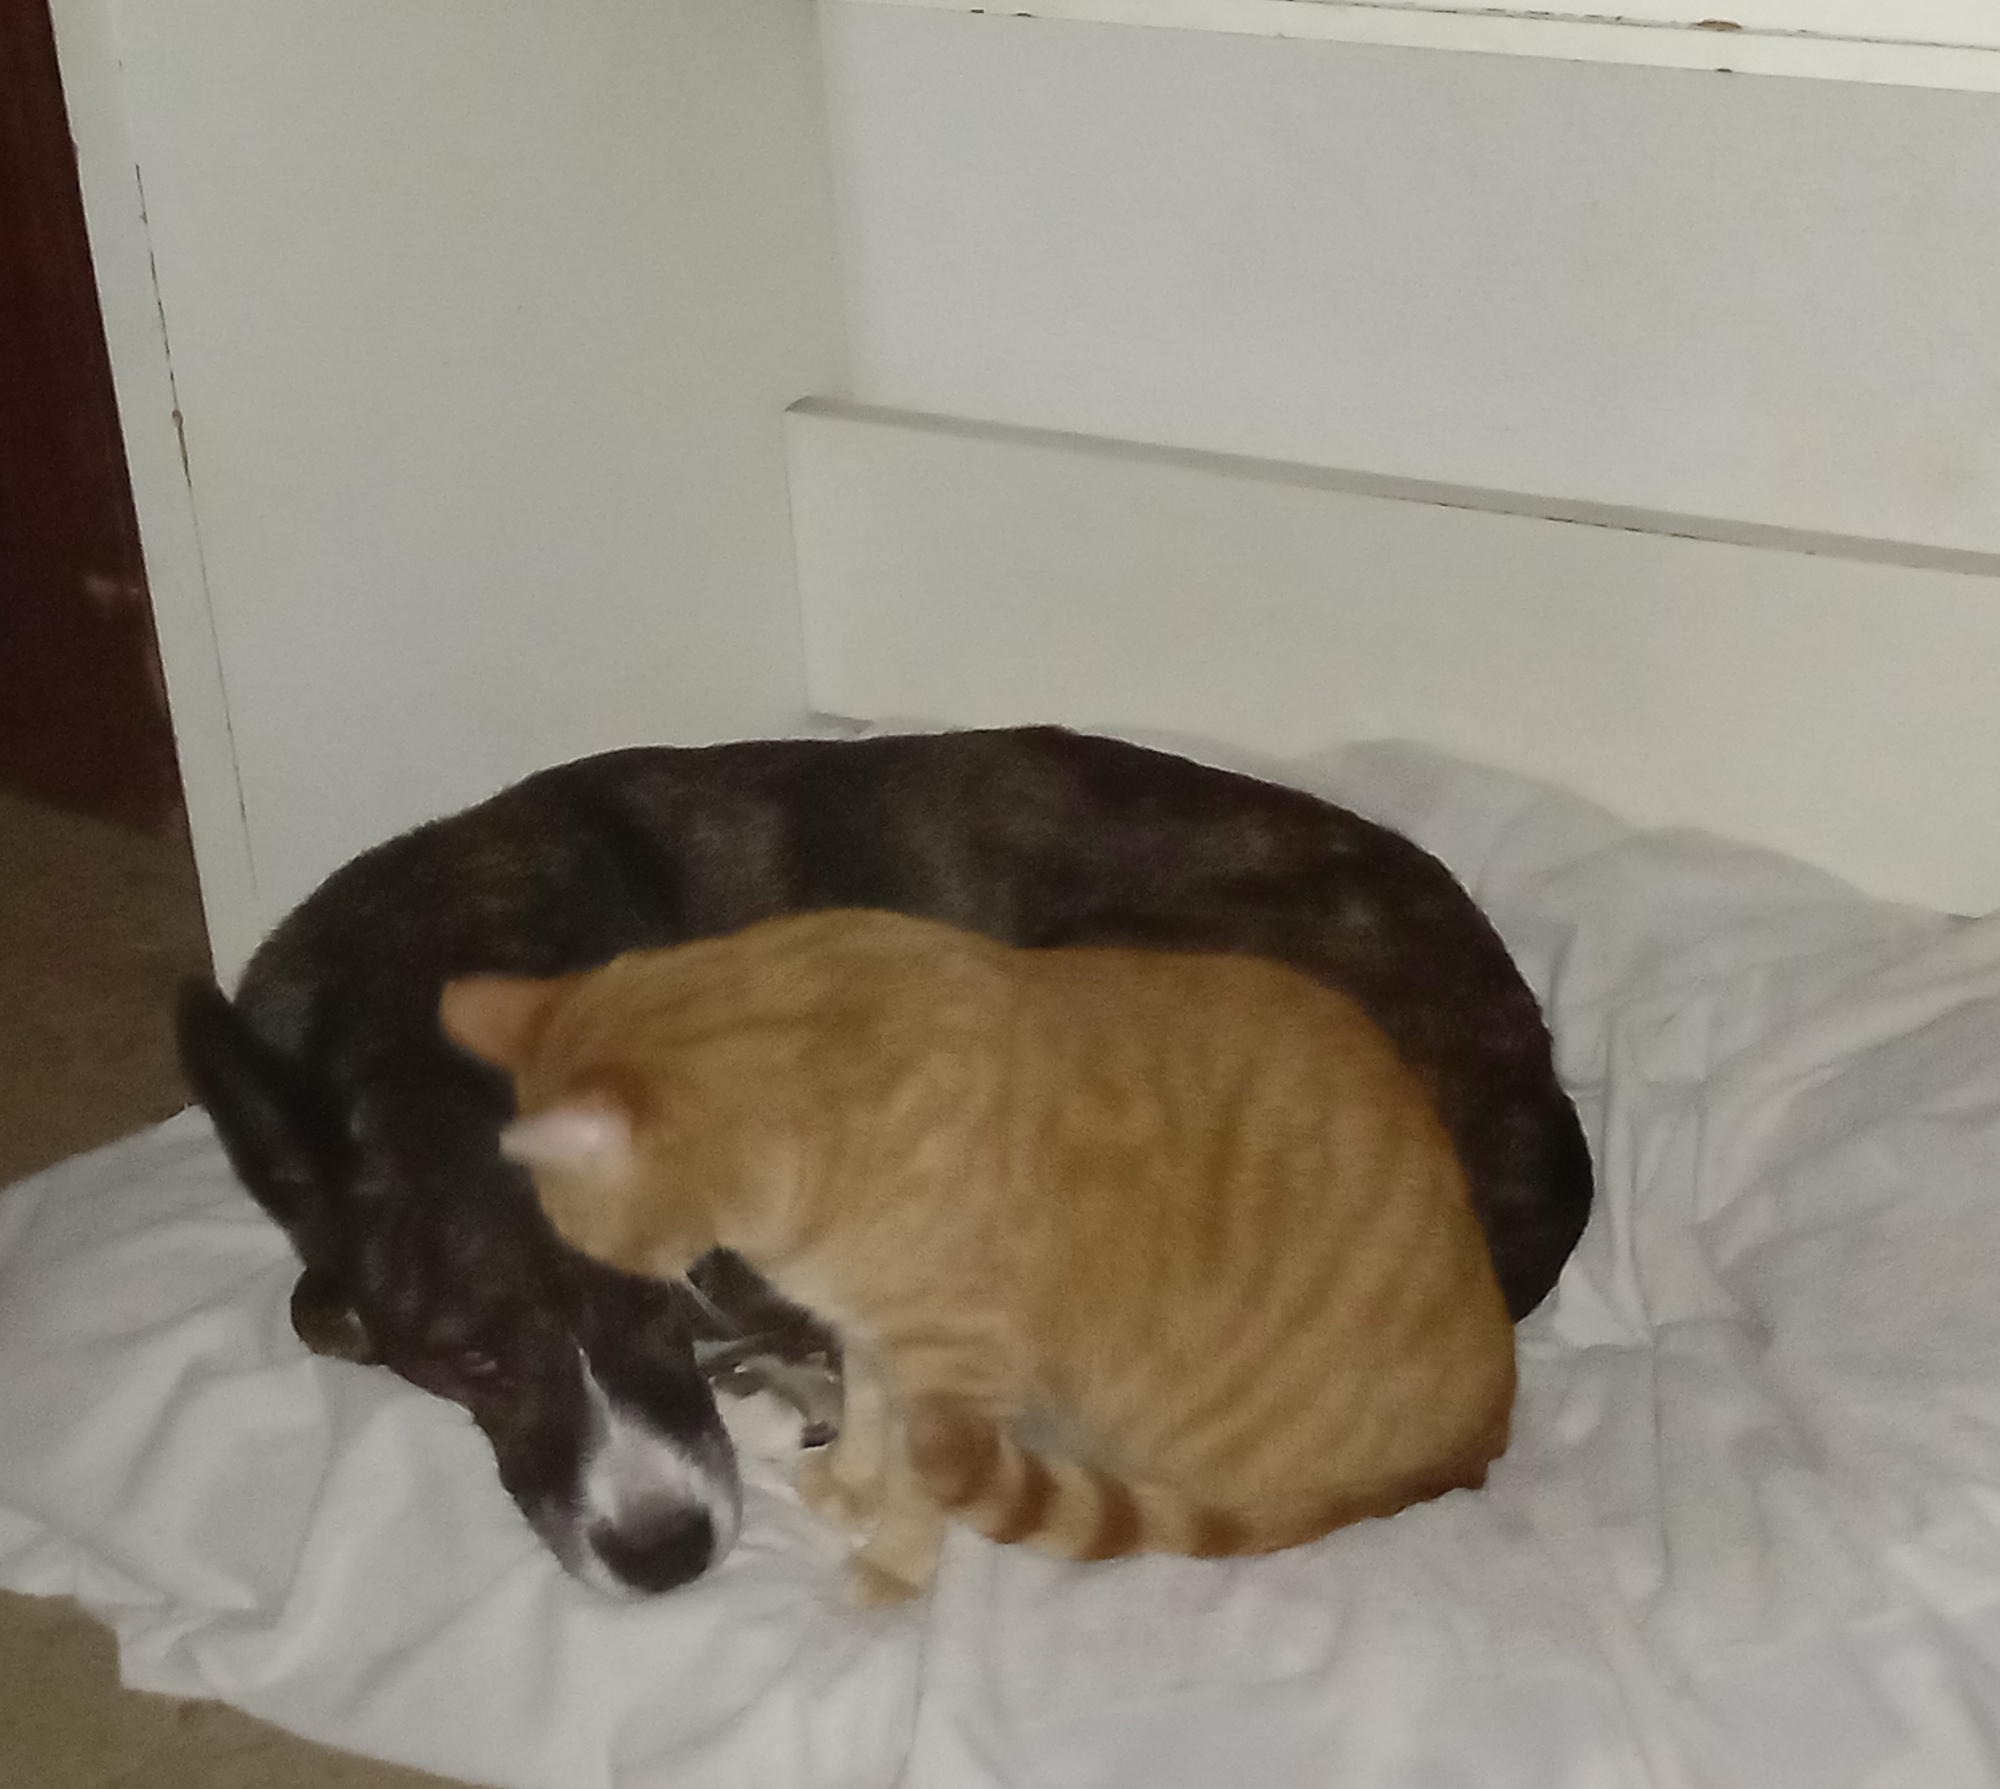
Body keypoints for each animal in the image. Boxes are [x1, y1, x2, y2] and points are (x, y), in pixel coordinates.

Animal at [440, 909, 1516, 1604]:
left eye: (591, 1252)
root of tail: (1491, 1422)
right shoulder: (874, 1334)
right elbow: (868, 1421)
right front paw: (848, 1486)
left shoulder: (954, 1370)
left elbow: (919, 1484)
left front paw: (891, 1564)